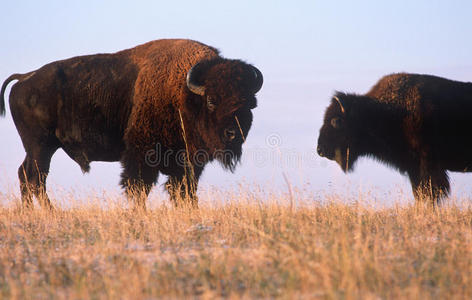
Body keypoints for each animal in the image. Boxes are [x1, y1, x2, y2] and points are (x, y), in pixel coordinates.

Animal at [0, 39, 262, 209]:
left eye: (250, 103)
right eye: (211, 100)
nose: (233, 134)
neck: (183, 94)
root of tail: (24, 78)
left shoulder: (187, 162)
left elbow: (184, 190)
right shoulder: (142, 153)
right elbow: (138, 186)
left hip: (42, 148)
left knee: (27, 175)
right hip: (40, 146)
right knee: (34, 177)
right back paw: (50, 213)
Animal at [318, 72, 472, 206]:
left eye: (336, 121)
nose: (320, 149)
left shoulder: (428, 165)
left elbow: (431, 193)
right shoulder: (413, 168)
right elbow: (419, 193)